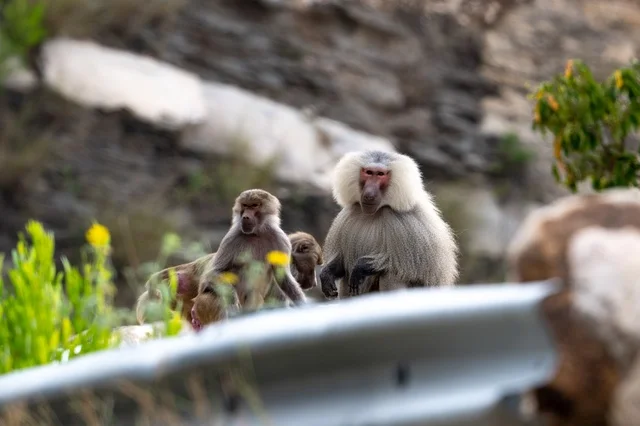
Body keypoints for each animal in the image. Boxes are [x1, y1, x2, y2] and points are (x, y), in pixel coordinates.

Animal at [319, 150, 459, 300]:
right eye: (369, 172)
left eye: (381, 174)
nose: (369, 194)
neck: (375, 212)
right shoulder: (349, 215)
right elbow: (341, 263)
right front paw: (326, 274)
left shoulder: (406, 222)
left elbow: (412, 267)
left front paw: (362, 266)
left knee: (391, 274)